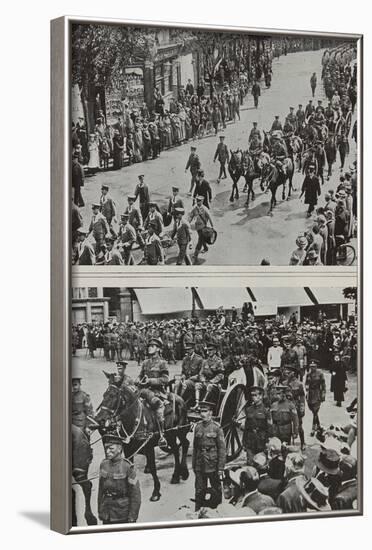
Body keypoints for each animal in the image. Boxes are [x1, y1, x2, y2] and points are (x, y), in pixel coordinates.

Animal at [94, 376, 190, 504]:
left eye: (113, 396)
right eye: (104, 395)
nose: (99, 420)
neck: (135, 419)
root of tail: (180, 398)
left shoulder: (149, 448)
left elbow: (153, 468)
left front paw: (156, 492)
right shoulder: (128, 448)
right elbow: (130, 466)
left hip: (179, 431)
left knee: (185, 444)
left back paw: (184, 473)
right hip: (170, 435)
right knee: (175, 450)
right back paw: (175, 475)